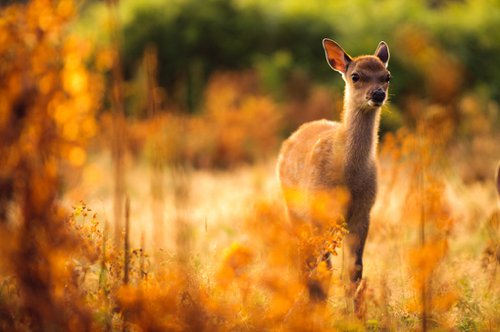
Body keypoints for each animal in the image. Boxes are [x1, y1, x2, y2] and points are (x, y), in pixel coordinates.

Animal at [278, 38, 390, 300]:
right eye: (356, 76)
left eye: (387, 76)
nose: (378, 94)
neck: (347, 176)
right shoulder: (318, 211)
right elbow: (324, 268)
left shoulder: (363, 211)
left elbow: (354, 271)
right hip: (293, 209)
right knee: (305, 256)